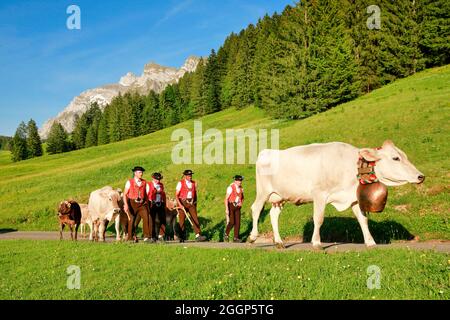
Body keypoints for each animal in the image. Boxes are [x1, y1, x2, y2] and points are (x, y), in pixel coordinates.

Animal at [250, 141, 426, 249]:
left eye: (404, 156)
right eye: (395, 158)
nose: (420, 176)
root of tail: (266, 152)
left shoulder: (353, 198)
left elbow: (363, 220)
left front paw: (370, 242)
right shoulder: (319, 194)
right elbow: (318, 219)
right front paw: (317, 243)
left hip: (280, 197)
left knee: (274, 215)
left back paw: (279, 242)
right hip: (263, 192)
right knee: (256, 209)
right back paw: (252, 237)